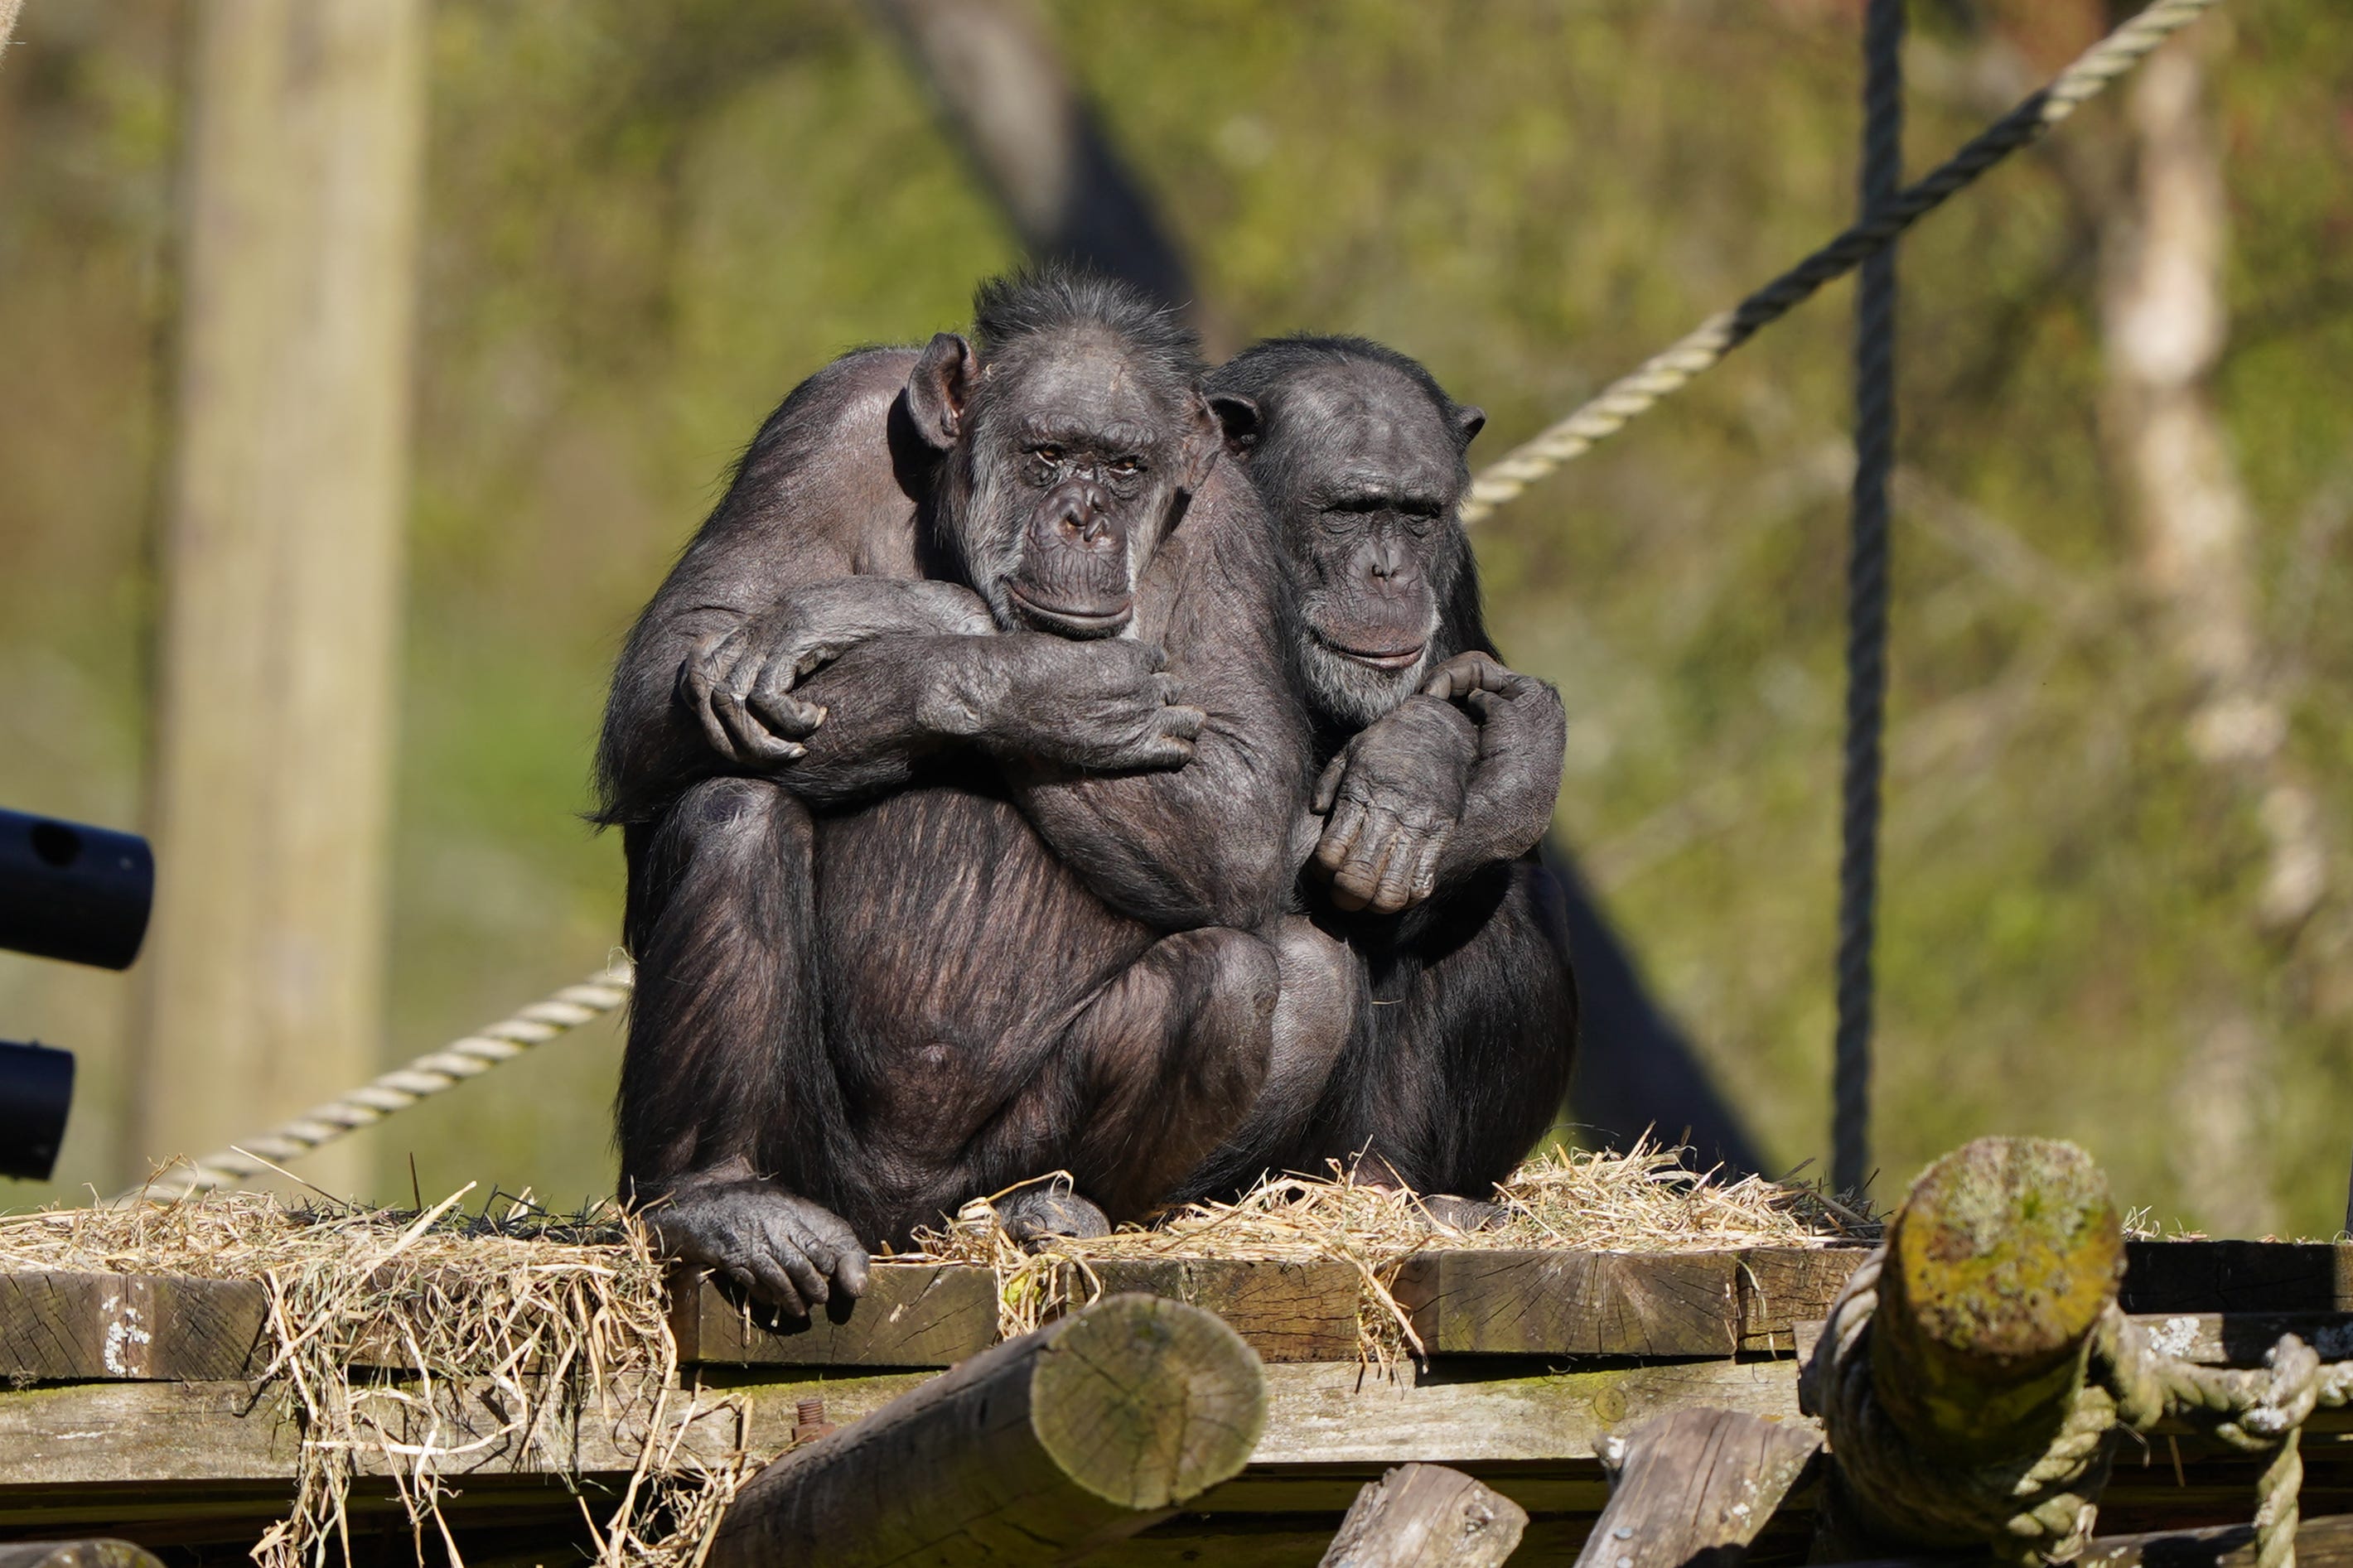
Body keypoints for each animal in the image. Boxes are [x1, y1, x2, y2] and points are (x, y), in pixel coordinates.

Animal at [597, 273, 1355, 1316]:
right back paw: (719, 1204)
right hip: (823, 1167)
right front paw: (1008, 665)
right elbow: (675, 671)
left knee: (1260, 974)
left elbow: (1241, 803)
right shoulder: (818, 428)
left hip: (984, 1177)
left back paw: (1054, 1211)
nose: (1083, 518)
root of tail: (907, 1228)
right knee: (730, 807)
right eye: (1048, 454)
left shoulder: (1232, 531)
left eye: (1124, 467)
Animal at [1186, 334, 1590, 1213]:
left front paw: (1428, 757)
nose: (1388, 573)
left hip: (1387, 1148)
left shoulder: (1456, 564)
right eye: (1347, 510)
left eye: (1417, 515)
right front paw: (1420, 763)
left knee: (1511, 889)